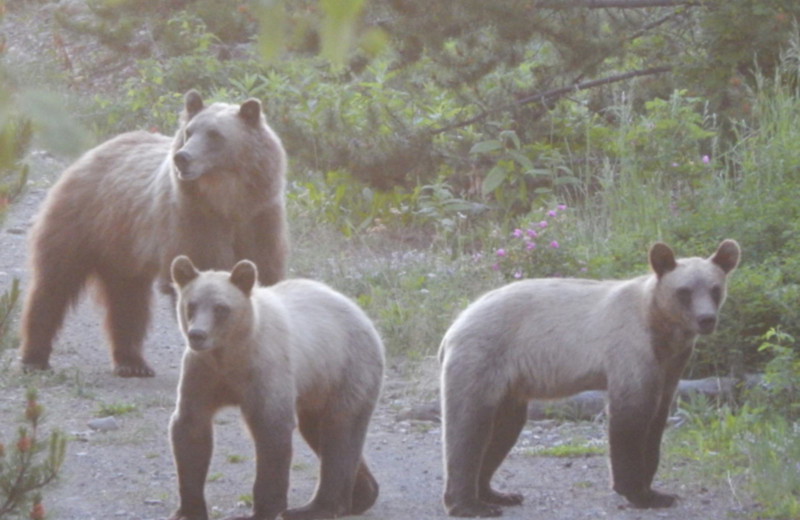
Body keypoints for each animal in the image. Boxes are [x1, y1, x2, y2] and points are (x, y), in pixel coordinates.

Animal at [18, 90, 290, 378]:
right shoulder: (193, 224)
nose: (182, 157)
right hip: (82, 223)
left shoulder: (260, 220)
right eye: (189, 131)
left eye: (215, 134)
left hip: (122, 247)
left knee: (127, 301)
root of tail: (92, 152)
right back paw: (35, 357)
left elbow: (263, 274)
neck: (227, 202)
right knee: (54, 284)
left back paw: (132, 362)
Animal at [168, 255, 384, 520]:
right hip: (316, 390)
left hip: (346, 369)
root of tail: (365, 317)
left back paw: (315, 508)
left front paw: (263, 509)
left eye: (220, 308)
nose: (197, 334)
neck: (232, 354)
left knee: (340, 433)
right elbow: (191, 428)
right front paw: (189, 509)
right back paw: (362, 495)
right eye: (191, 305)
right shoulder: (203, 373)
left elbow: (271, 430)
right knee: (318, 431)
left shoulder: (266, 370)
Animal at [440, 239, 740, 516]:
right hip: (483, 358)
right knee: (468, 426)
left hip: (510, 385)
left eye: (715, 289)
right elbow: (629, 419)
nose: (706, 319)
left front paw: (658, 491)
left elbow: (656, 421)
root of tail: (455, 325)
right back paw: (469, 504)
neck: (661, 329)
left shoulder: (670, 366)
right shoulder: (631, 349)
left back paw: (497, 493)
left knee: (504, 429)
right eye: (684, 291)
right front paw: (639, 492)